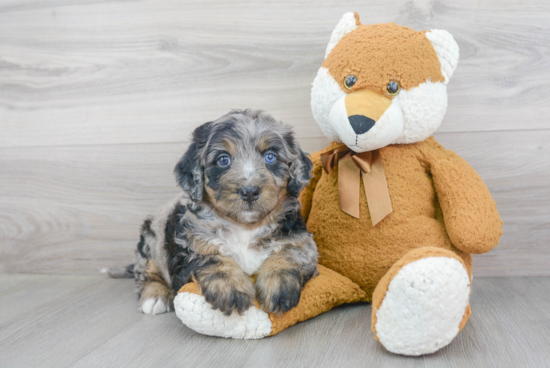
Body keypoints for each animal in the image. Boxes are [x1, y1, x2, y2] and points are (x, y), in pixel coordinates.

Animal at [108, 109, 320, 316]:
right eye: (223, 160)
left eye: (270, 157)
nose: (249, 191)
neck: (245, 226)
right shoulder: (189, 245)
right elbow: (211, 257)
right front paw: (231, 287)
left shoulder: (301, 240)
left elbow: (288, 251)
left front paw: (278, 285)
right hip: (152, 239)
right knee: (147, 274)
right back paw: (155, 297)